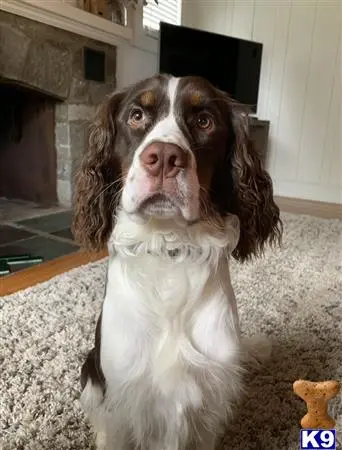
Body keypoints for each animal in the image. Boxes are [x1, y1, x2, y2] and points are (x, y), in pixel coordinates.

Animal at [71, 74, 280, 450]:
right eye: (137, 115)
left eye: (204, 121)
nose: (165, 157)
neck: (169, 247)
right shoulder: (123, 396)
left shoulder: (207, 402)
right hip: (91, 373)